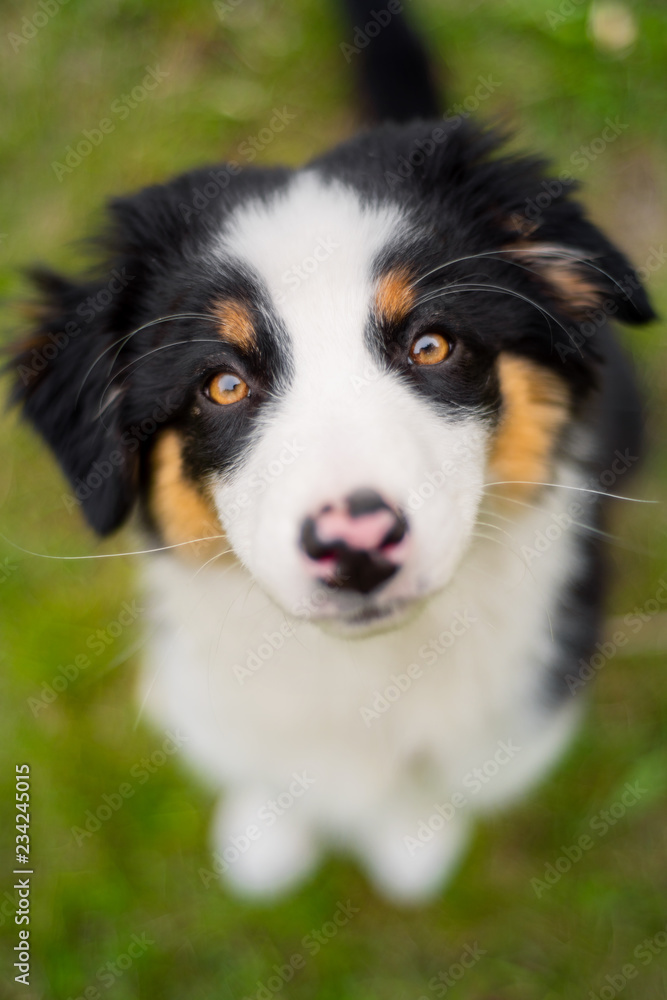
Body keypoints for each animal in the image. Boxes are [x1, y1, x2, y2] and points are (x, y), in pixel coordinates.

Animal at [9, 0, 656, 904]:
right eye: (222, 385)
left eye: (431, 344)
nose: (355, 545)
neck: (363, 672)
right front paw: (265, 835)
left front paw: (412, 841)